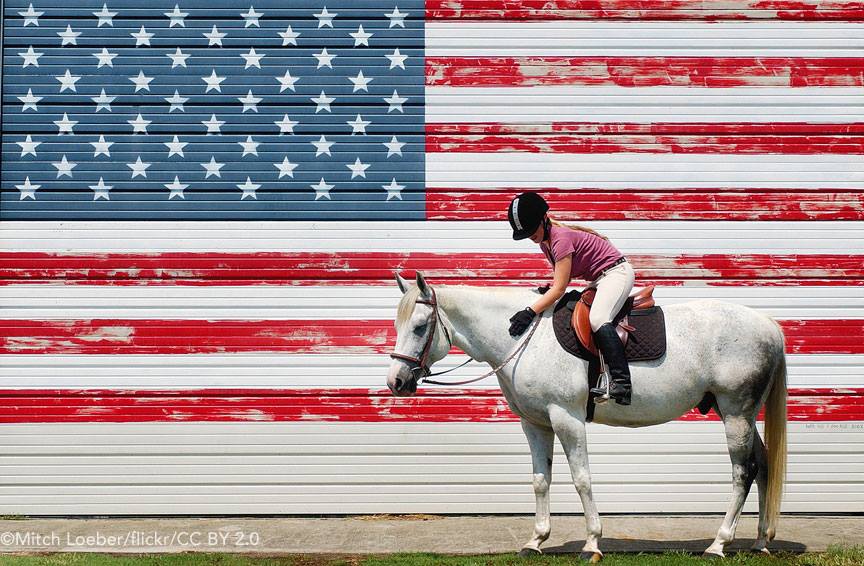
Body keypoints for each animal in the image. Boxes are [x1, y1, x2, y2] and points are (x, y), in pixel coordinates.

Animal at [388, 272, 788, 560]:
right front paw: (535, 541)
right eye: (397, 326)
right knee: (764, 465)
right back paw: (760, 542)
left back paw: (718, 544)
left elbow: (582, 479)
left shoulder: (567, 418)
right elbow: (540, 480)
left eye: (419, 327)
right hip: (737, 414)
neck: (524, 339)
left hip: (736, 413)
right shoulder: (535, 423)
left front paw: (592, 544)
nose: (396, 381)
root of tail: (768, 325)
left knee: (742, 473)